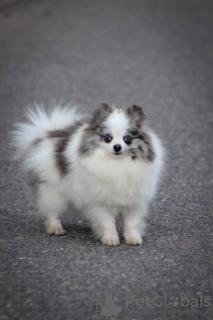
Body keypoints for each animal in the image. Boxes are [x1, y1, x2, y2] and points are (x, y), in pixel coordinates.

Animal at [11, 104, 164, 246]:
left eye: (127, 139)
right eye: (108, 138)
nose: (117, 147)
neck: (117, 164)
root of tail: (47, 134)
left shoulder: (133, 203)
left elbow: (131, 223)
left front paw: (133, 239)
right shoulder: (101, 203)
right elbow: (107, 223)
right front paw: (111, 239)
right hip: (53, 191)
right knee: (52, 212)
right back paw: (56, 229)